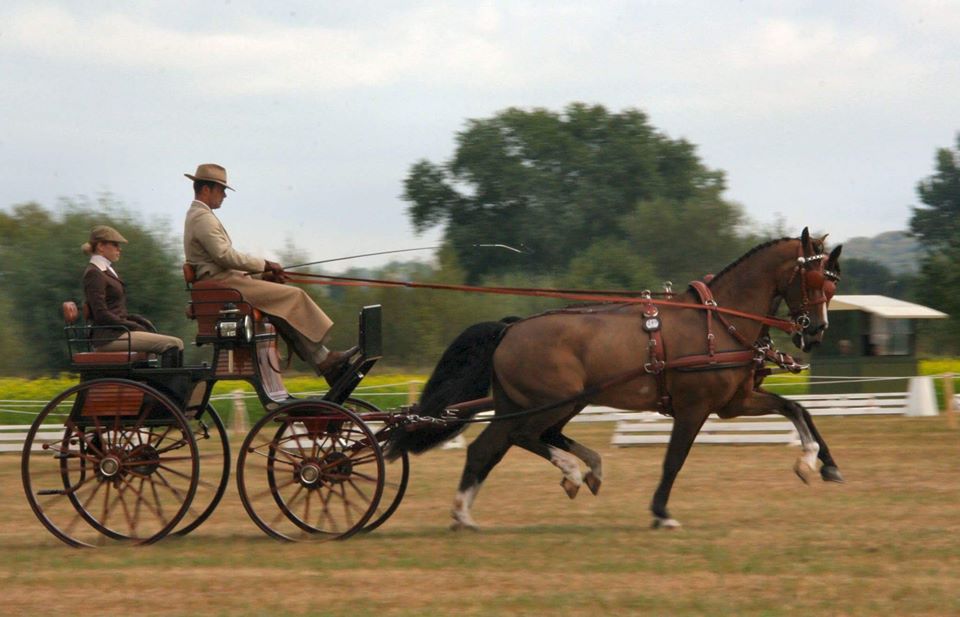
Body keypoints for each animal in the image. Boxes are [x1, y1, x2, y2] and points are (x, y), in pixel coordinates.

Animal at [390, 229, 840, 528]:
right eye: (813, 279)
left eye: (833, 285)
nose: (816, 332)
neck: (720, 321)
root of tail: (511, 328)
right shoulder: (694, 407)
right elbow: (674, 459)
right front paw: (661, 512)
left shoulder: (734, 403)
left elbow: (796, 409)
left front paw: (818, 464)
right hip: (552, 401)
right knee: (522, 437)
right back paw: (573, 472)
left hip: (534, 403)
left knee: (489, 449)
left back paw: (466, 512)